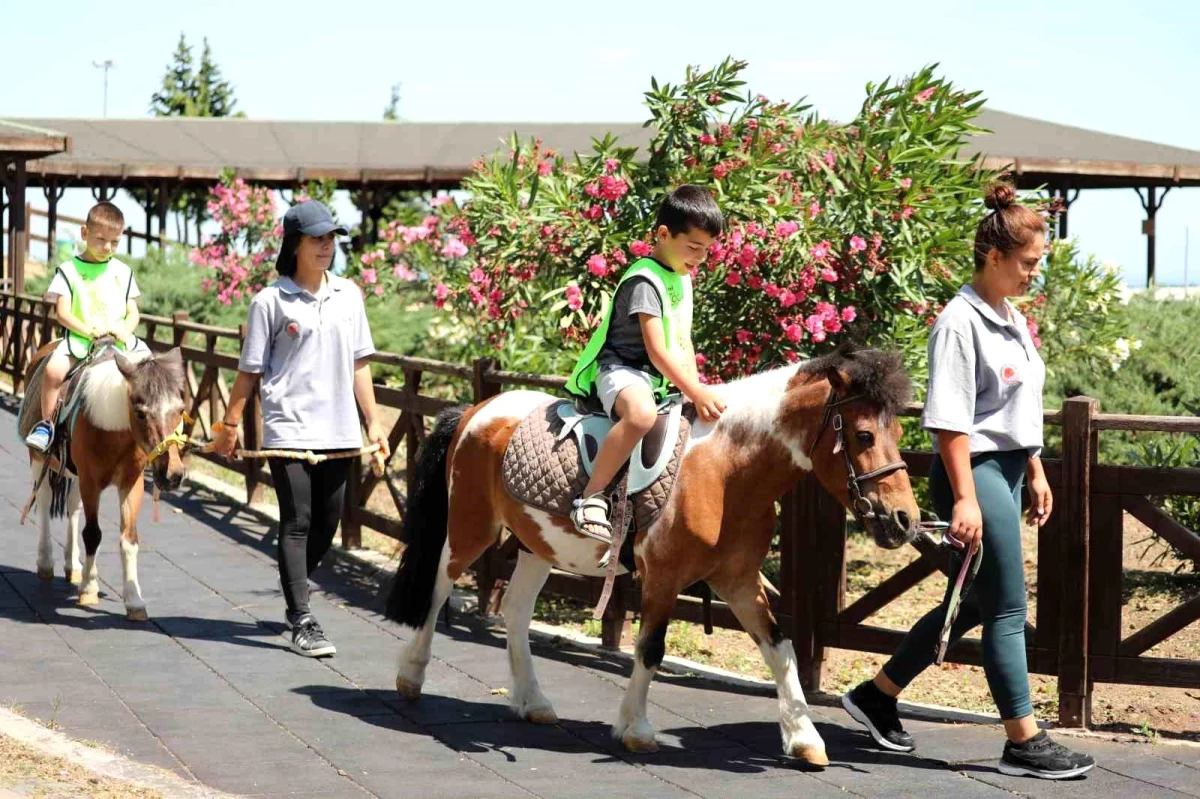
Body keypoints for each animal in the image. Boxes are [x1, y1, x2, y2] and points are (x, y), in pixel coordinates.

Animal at [18, 340, 188, 614]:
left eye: (180, 410)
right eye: (140, 413)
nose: (172, 474)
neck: (114, 429)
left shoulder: (131, 483)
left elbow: (129, 538)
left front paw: (134, 600)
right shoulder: (91, 482)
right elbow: (92, 534)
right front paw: (89, 589)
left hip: (74, 473)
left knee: (72, 507)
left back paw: (73, 566)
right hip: (39, 459)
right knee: (44, 500)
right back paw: (45, 562)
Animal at [384, 345, 916, 763]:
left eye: (897, 435)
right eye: (864, 436)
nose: (906, 519)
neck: (725, 470)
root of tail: (477, 409)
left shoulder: (738, 580)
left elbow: (780, 647)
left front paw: (804, 739)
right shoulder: (663, 576)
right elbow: (651, 648)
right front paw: (636, 730)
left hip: (537, 544)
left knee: (515, 611)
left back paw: (533, 702)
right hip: (470, 527)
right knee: (438, 586)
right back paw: (410, 677)